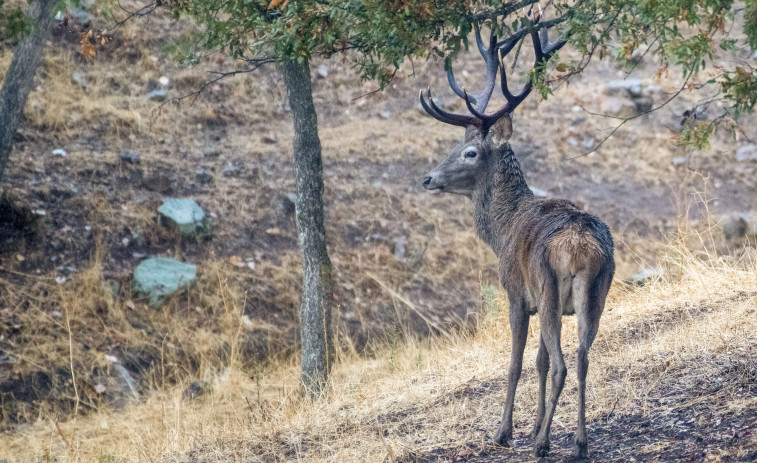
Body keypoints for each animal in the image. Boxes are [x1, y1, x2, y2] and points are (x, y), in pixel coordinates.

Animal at [420, 15, 616, 460]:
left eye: (470, 152)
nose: (428, 178)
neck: (503, 230)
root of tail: (579, 248)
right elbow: (539, 362)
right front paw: (537, 424)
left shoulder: (516, 293)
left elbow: (515, 364)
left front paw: (507, 431)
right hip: (595, 291)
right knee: (582, 358)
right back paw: (579, 441)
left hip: (547, 286)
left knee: (562, 364)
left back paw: (543, 444)